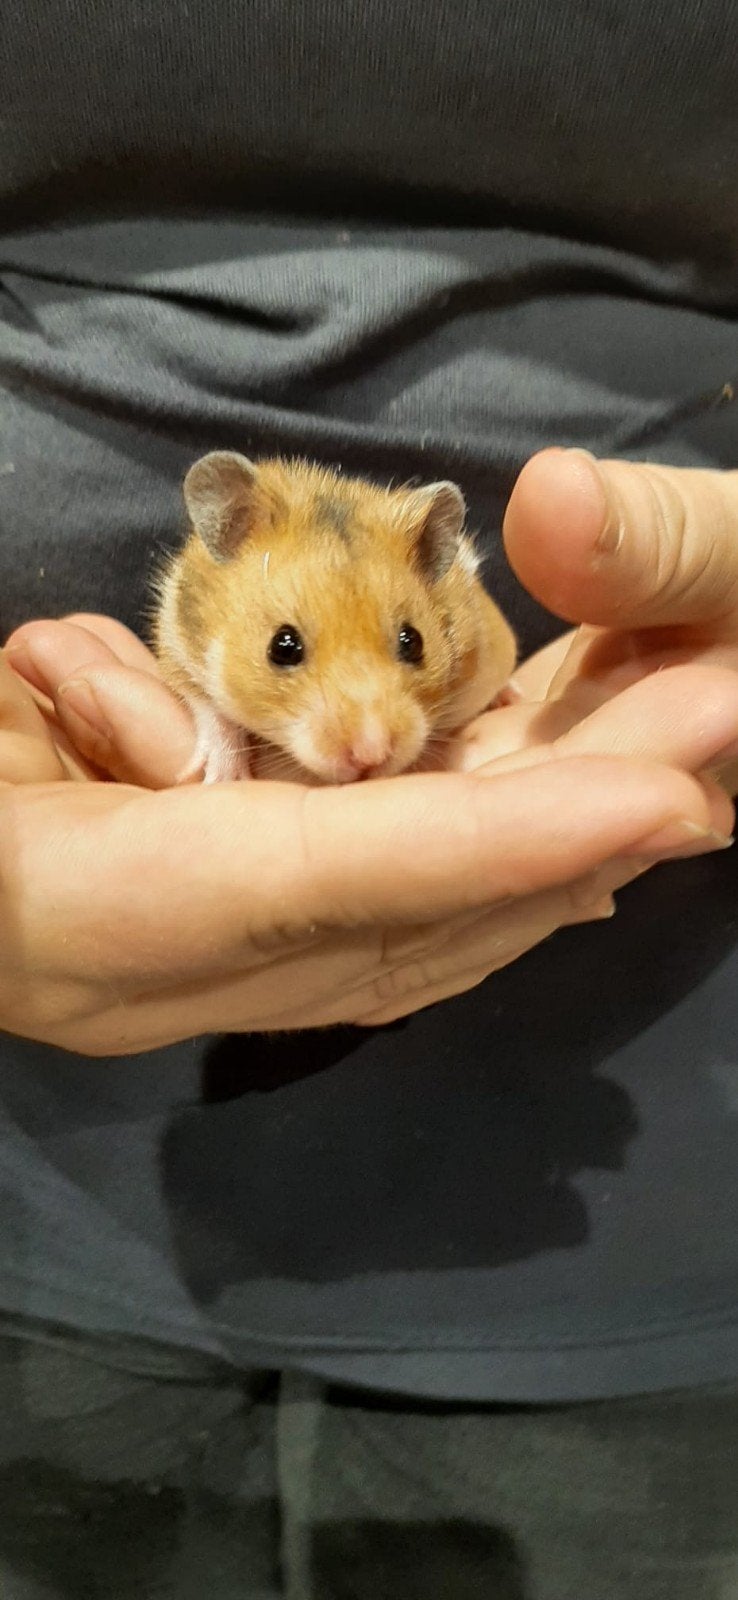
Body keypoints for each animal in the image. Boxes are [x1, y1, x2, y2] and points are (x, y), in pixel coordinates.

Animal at [152, 452, 517, 785]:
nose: (371, 754)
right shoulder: (175, 642)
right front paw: (225, 778)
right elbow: (213, 713)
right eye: (282, 646)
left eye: (413, 642)